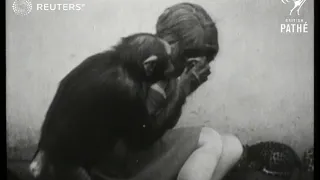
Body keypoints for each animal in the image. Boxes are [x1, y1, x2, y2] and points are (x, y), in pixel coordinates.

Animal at [30, 33, 188, 179]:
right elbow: (142, 137)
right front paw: (185, 83)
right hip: (69, 170)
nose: (178, 62)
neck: (125, 65)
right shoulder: (127, 93)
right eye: (170, 57)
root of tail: (41, 158)